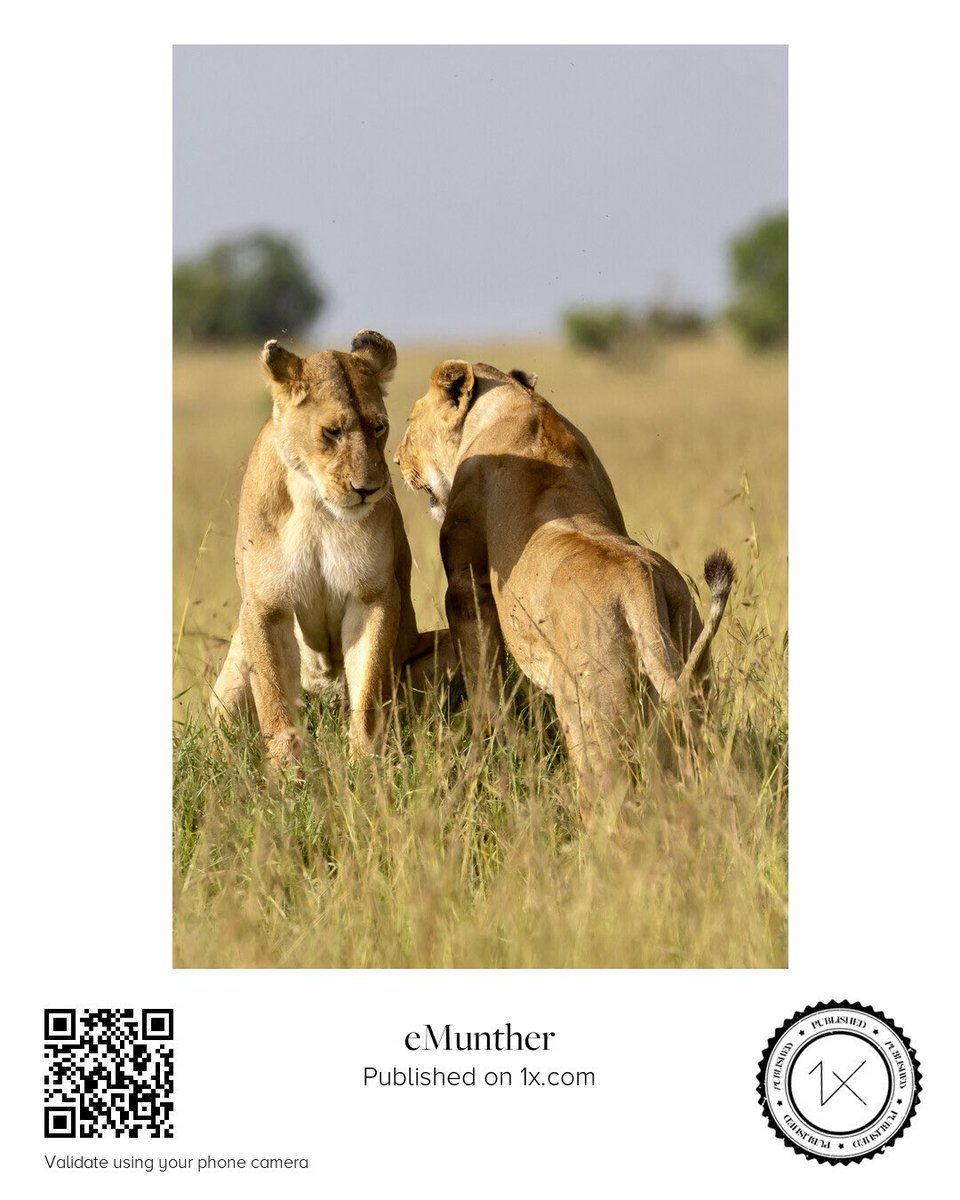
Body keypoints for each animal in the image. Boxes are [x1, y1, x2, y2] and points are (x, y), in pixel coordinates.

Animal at [210, 330, 450, 767]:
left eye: (379, 427)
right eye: (332, 431)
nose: (367, 489)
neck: (315, 505)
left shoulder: (372, 595)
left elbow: (368, 690)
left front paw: (364, 765)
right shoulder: (265, 607)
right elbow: (274, 698)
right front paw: (286, 774)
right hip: (231, 680)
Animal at [394, 359, 734, 789]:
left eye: (409, 420)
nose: (396, 461)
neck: (515, 403)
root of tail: (638, 586)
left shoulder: (465, 580)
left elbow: (483, 676)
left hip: (589, 707)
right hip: (693, 683)